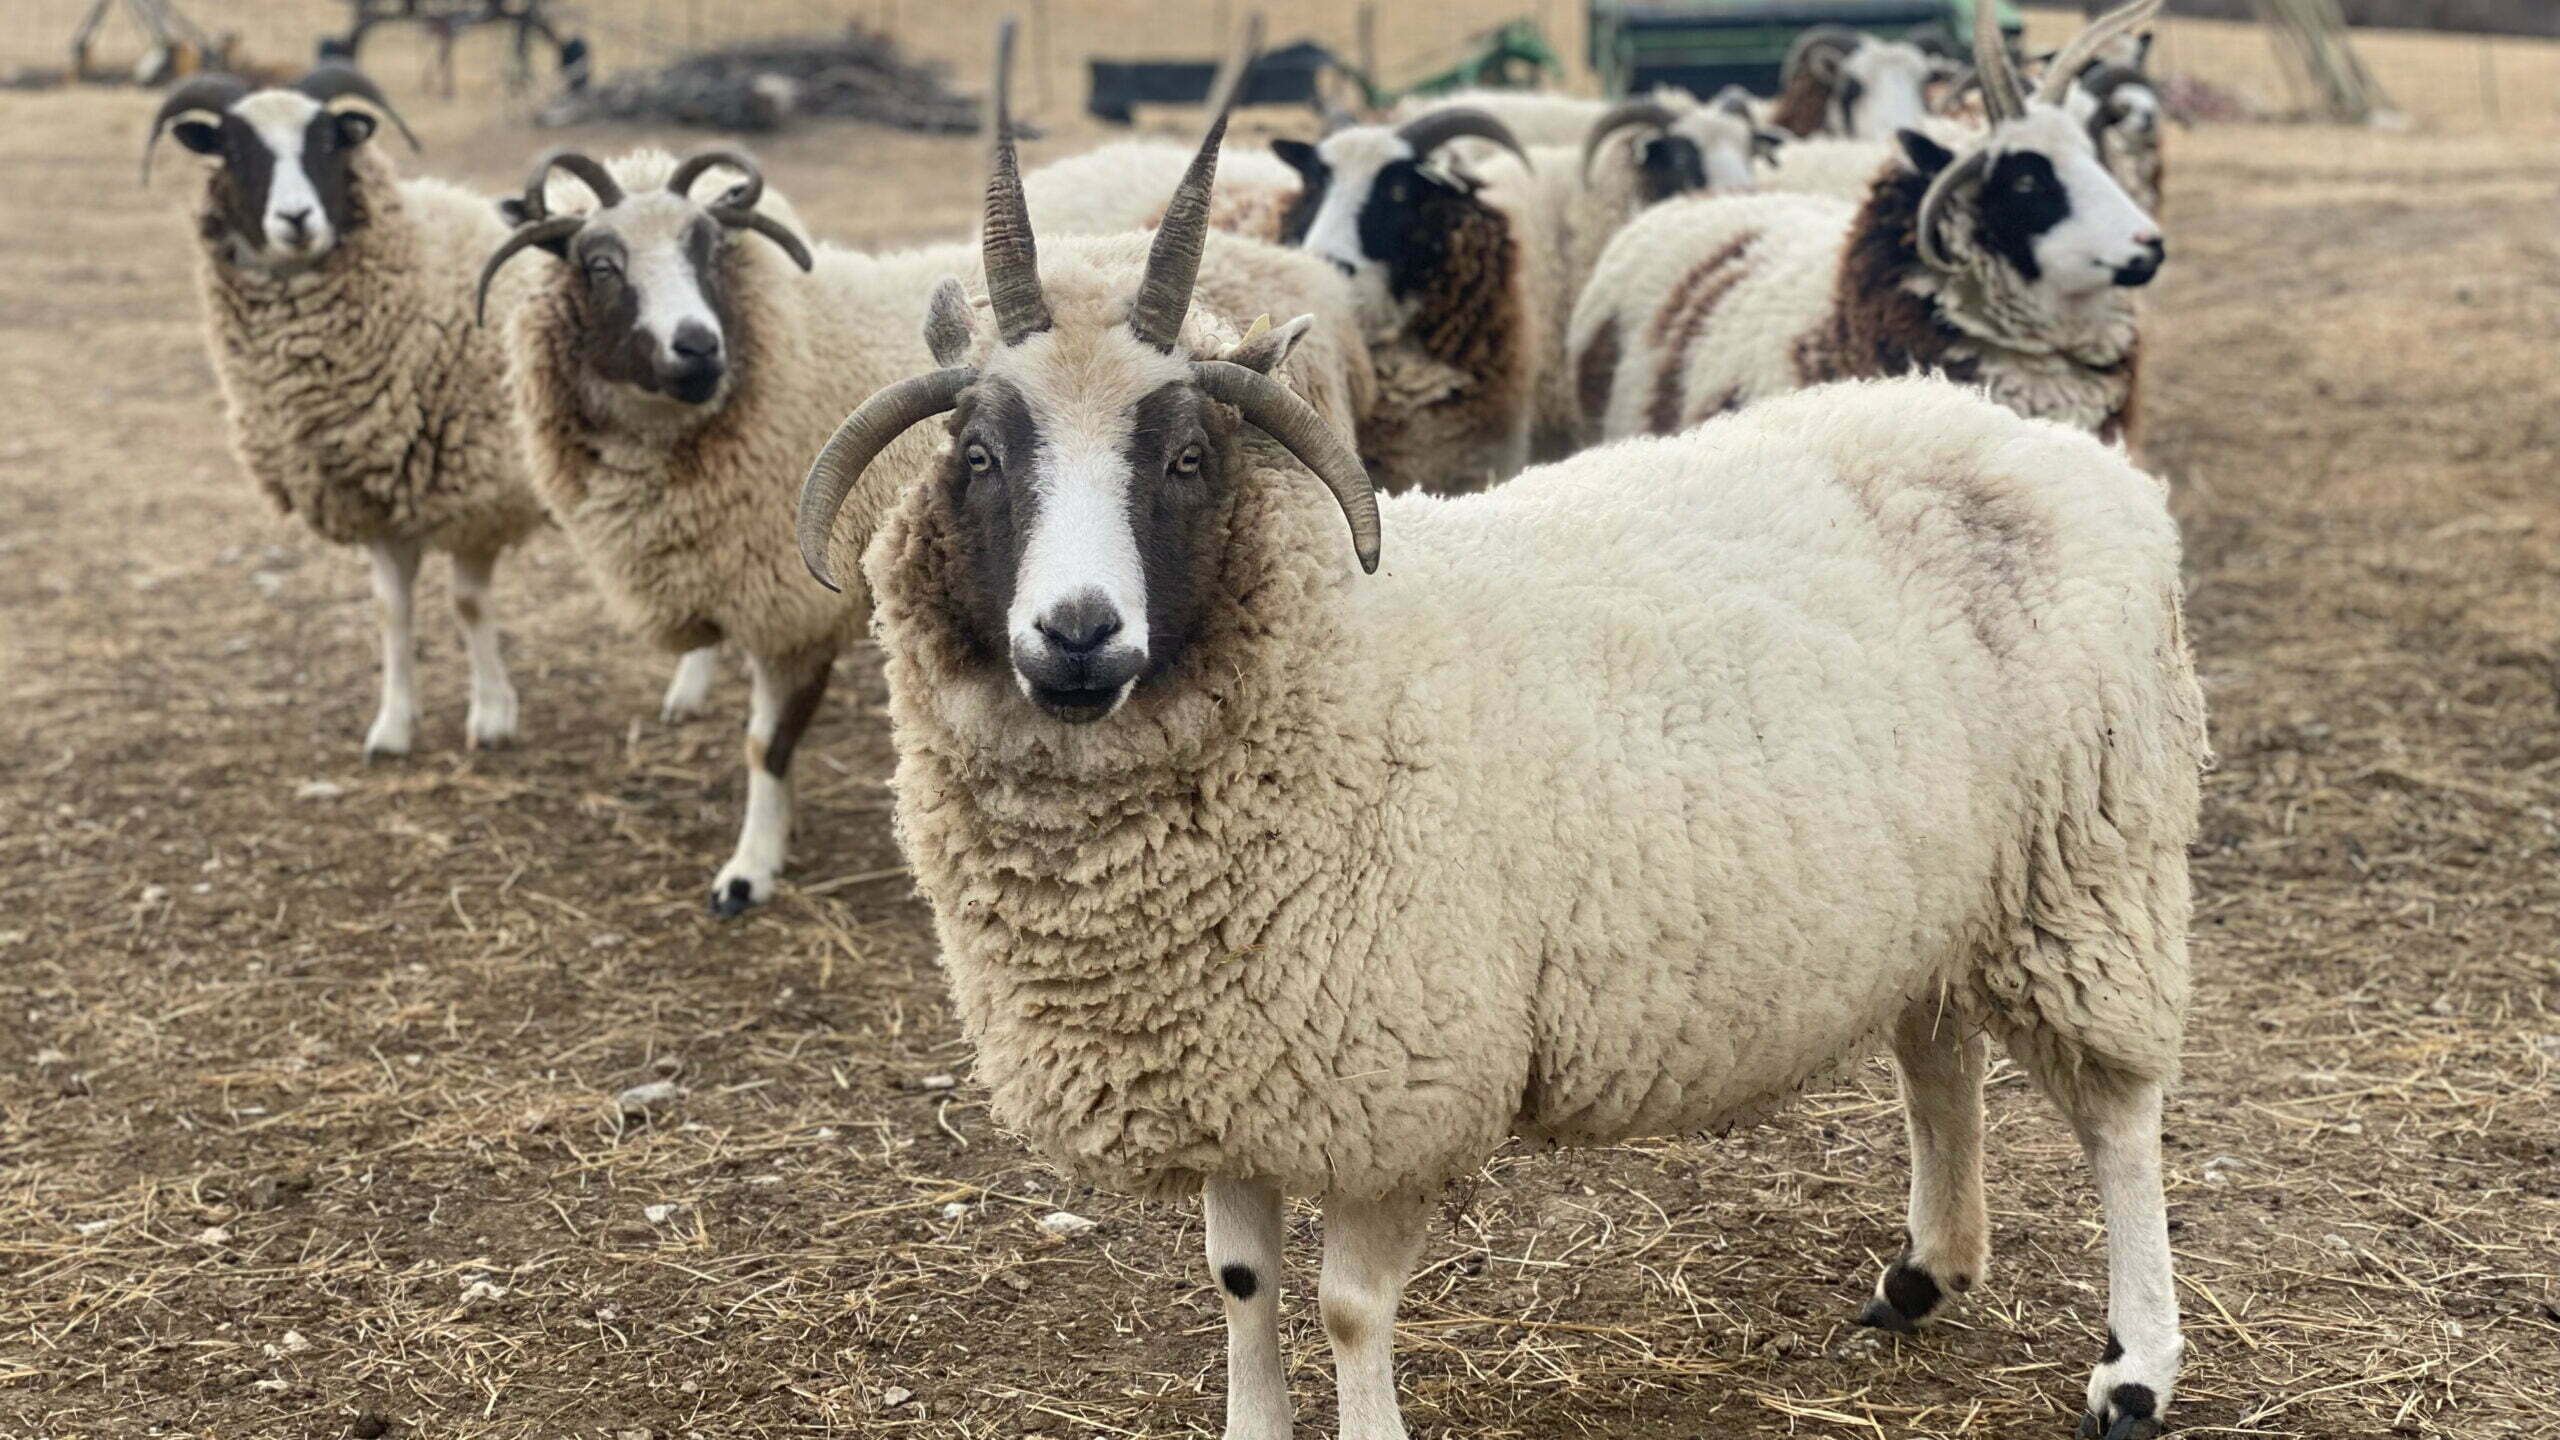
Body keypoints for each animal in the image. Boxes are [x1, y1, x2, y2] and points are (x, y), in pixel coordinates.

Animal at [143, 64, 712, 758]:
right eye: (235, 151)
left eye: (327, 143)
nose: (297, 218)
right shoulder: (375, 500)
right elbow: (392, 610)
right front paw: (392, 727)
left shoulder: (475, 491)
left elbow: (468, 604)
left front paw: (492, 715)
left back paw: (689, 691)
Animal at [478, 25, 1366, 917]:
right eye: (599, 263)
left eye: (710, 248)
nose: (697, 349)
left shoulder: (792, 602)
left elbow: (767, 745)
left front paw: (750, 866)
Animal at [794, 84, 2206, 1440]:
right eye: (980, 457)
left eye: (1186, 458)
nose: (1077, 632)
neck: (1333, 660)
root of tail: (2061, 452)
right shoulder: (1233, 1065)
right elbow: (1238, 1282)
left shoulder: (1391, 1079)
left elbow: (1348, 1308)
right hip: (1945, 888)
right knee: (1939, 1061)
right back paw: (1926, 1273)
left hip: (2088, 867)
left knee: (2119, 1118)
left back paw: (2135, 1366)